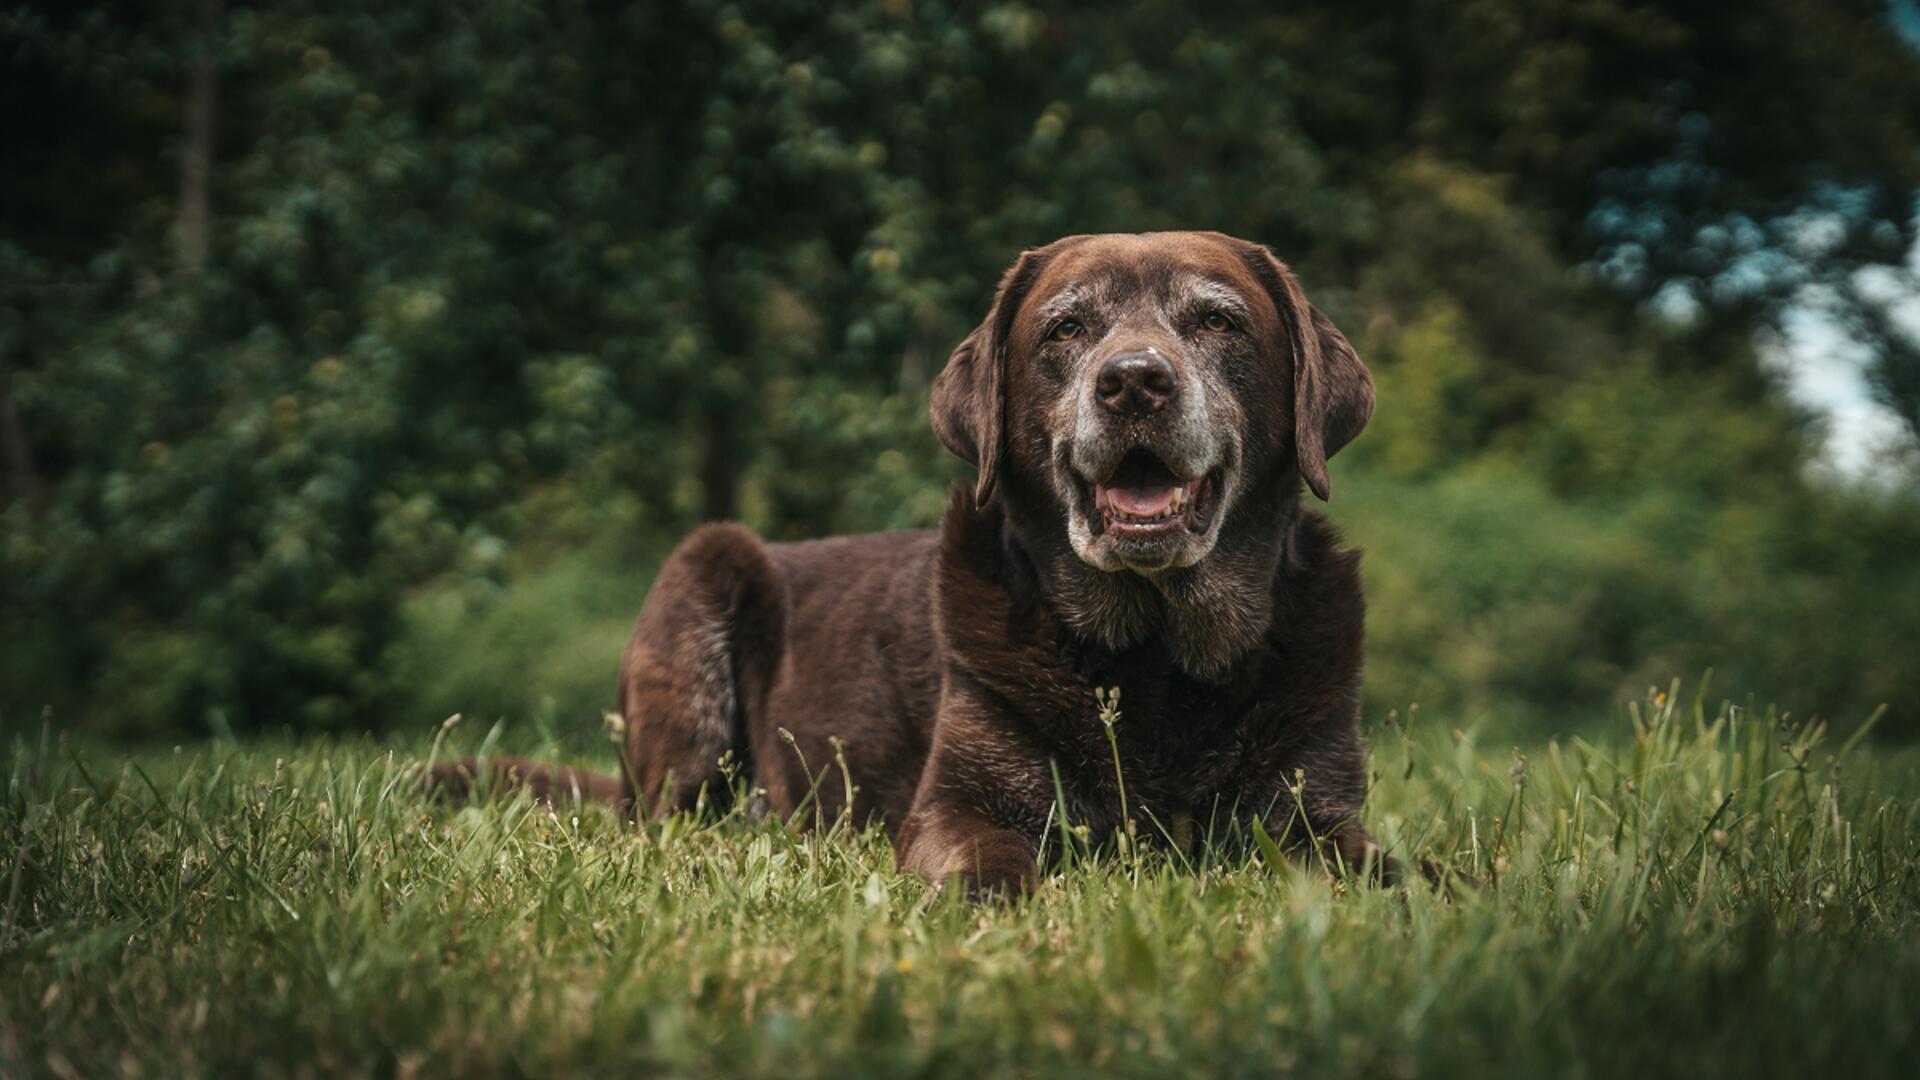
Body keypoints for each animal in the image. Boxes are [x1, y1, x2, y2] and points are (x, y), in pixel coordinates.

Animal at [435, 228, 1397, 891]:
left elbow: (1388, 870)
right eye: (1066, 328)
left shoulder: (1317, 817)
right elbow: (986, 864)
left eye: (1217, 320)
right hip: (705, 581)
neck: (1156, 654)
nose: (1132, 381)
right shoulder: (956, 806)